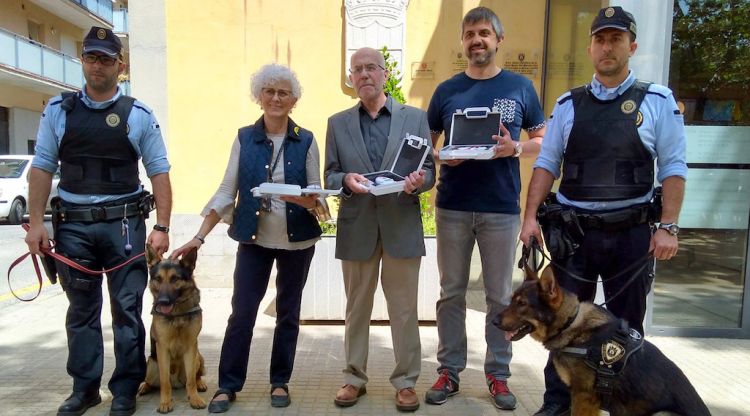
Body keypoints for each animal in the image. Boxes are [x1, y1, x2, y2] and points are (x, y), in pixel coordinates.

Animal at [137, 245, 209, 412]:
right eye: (158, 279)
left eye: (175, 279)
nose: (163, 301)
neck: (177, 313)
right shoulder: (162, 348)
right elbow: (165, 382)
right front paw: (165, 402)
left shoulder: (191, 346)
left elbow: (191, 380)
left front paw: (194, 399)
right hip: (151, 365)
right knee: (152, 381)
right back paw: (144, 386)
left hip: (197, 357)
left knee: (195, 376)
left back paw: (200, 384)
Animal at [494, 266, 712, 416]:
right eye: (512, 300)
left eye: (522, 304)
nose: (494, 320)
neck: (571, 323)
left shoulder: (584, 396)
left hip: (662, 413)